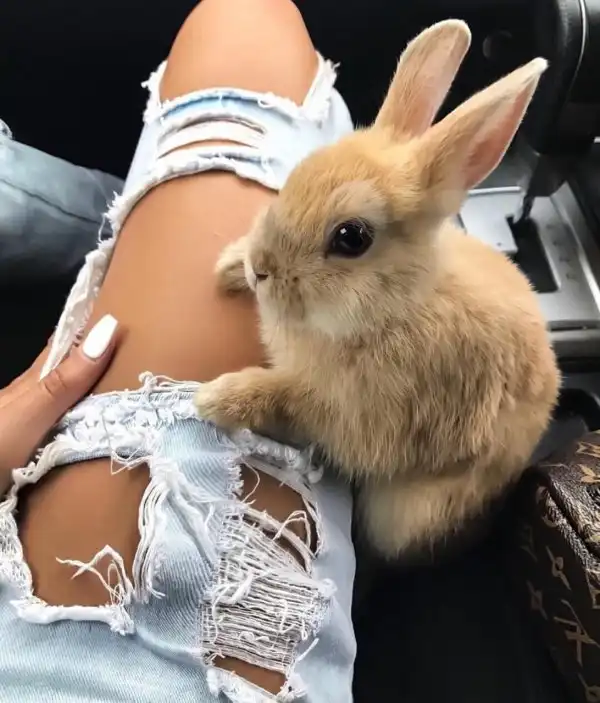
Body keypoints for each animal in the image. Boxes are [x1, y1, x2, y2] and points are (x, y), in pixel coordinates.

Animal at [194, 19, 561, 558]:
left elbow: (287, 400)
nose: (261, 269)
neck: (395, 305)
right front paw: (227, 266)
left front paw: (218, 399)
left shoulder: (356, 415)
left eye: (352, 238)